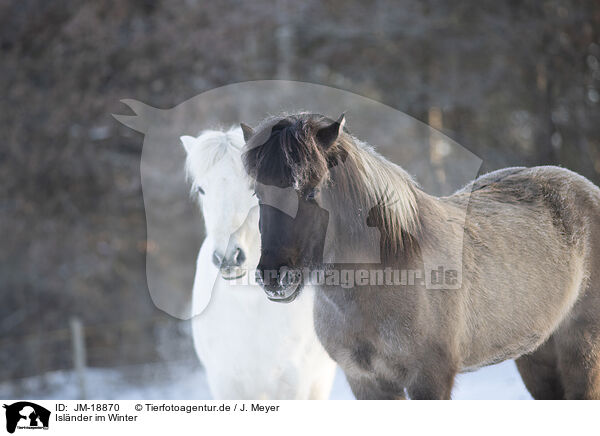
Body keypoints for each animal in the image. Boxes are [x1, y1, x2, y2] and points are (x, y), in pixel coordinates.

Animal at [178, 127, 338, 398]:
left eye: (253, 187)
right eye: (201, 189)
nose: (228, 257)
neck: (250, 305)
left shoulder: (294, 385)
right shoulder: (224, 383)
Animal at [241, 112, 600, 398]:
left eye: (312, 191)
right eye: (258, 193)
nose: (274, 277)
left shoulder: (429, 379)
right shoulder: (367, 383)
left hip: (581, 352)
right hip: (536, 354)